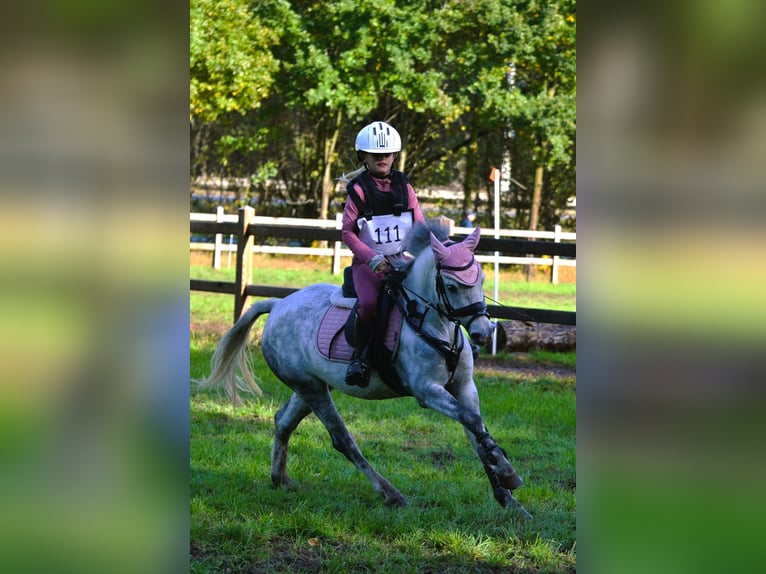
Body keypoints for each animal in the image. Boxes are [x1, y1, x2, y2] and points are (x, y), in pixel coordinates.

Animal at [198, 218, 531, 517]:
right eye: (451, 285)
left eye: (482, 279)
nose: (483, 333)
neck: (434, 324)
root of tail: (279, 305)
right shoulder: (428, 392)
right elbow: (472, 421)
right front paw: (508, 473)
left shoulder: (463, 388)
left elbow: (476, 431)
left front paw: (508, 497)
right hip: (311, 388)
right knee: (342, 439)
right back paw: (390, 493)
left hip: (311, 385)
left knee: (283, 421)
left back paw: (280, 479)